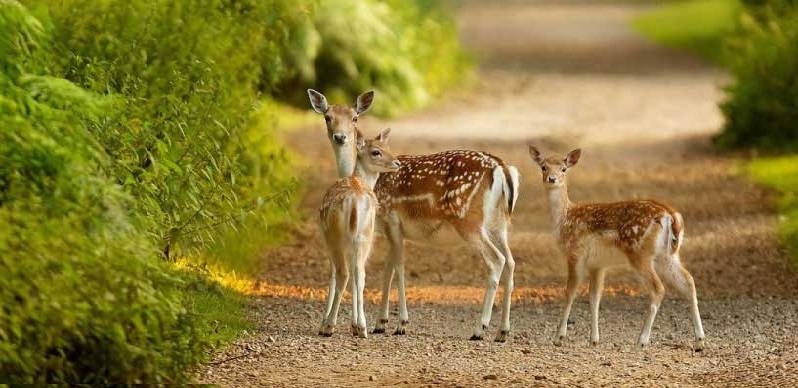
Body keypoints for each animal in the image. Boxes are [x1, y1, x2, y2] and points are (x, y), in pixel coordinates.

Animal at [318, 127, 404, 336]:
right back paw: (362, 326)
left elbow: (332, 276)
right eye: (376, 151)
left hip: (336, 236)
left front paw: (327, 322)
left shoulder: (327, 238)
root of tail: (355, 202)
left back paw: (329, 326)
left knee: (343, 273)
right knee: (359, 273)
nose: (397, 162)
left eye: (388, 147)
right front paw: (355, 324)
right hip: (364, 235)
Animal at [532, 146, 708, 352]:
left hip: (639, 253)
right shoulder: (598, 265)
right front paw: (594, 339)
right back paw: (699, 340)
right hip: (668, 255)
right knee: (689, 281)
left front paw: (558, 337)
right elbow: (594, 298)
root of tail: (671, 215)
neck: (564, 220)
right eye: (543, 167)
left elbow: (570, 293)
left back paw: (642, 339)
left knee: (658, 289)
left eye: (564, 169)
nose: (552, 179)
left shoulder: (575, 254)